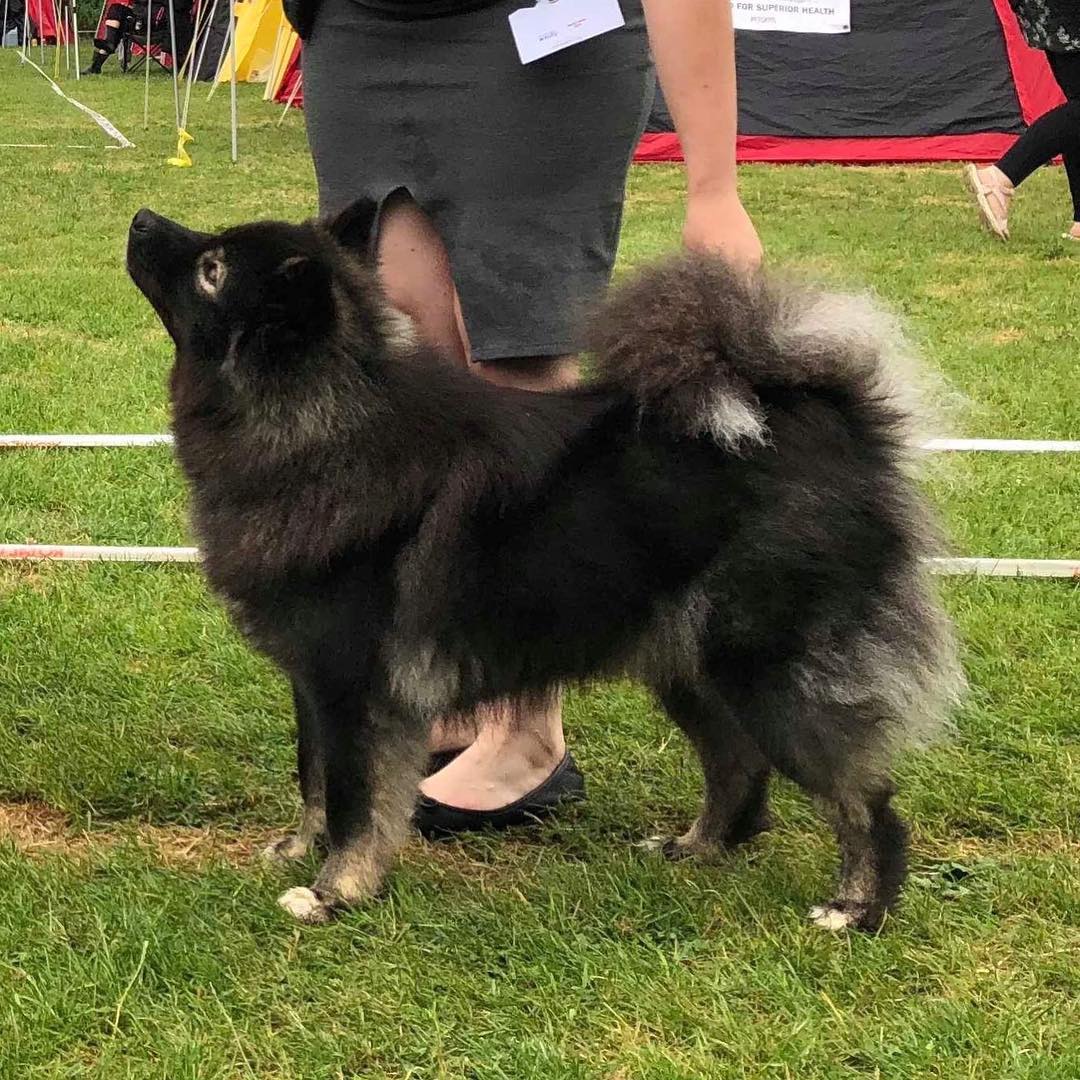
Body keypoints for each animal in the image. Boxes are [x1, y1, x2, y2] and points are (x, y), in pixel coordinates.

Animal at [126, 200, 962, 931]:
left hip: (770, 673)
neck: (320, 424)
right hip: (687, 668)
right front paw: (301, 851)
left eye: (211, 269)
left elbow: (357, 799)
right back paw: (693, 849)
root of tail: (833, 424)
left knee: (864, 800)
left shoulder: (357, 686)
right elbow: (314, 778)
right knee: (738, 769)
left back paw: (854, 910)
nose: (141, 220)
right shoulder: (313, 681)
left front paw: (336, 892)